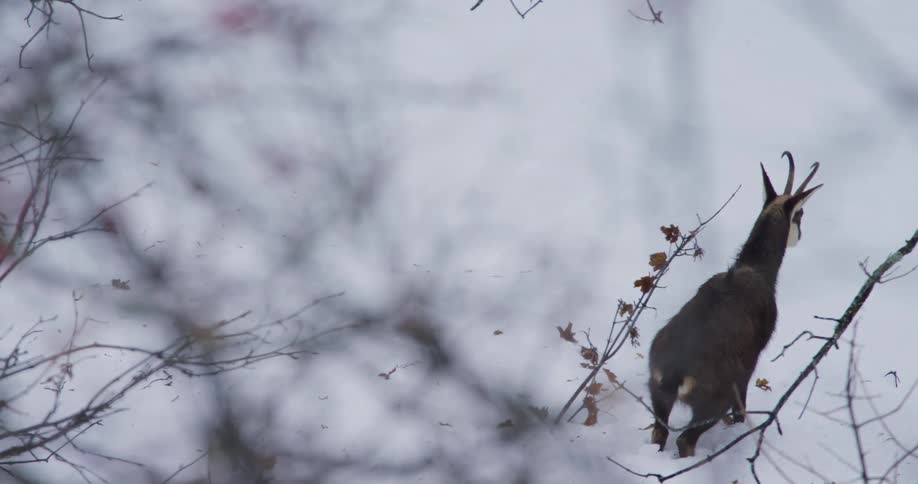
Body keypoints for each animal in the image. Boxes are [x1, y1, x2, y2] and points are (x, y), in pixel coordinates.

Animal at [647, 152, 821, 458]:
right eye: (799, 215)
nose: (800, 236)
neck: (756, 270)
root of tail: (674, 372)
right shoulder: (751, 361)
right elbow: (742, 409)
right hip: (715, 400)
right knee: (685, 440)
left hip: (657, 396)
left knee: (660, 433)